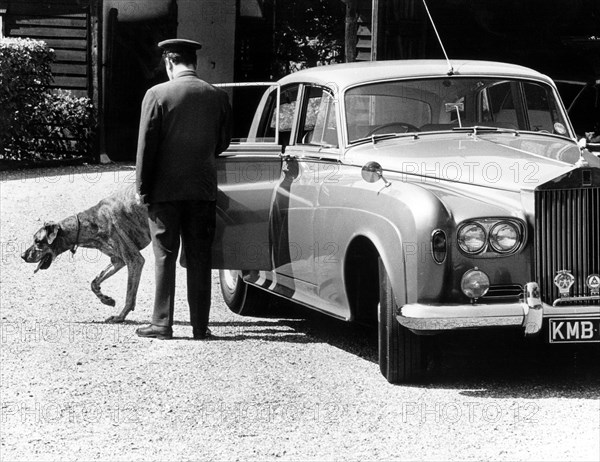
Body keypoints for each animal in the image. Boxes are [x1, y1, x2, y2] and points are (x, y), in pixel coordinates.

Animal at [22, 183, 151, 322]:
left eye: (38, 241)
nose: (22, 256)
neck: (90, 223)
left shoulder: (134, 260)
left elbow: (129, 295)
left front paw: (120, 316)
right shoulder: (118, 260)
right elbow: (94, 282)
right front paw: (106, 299)